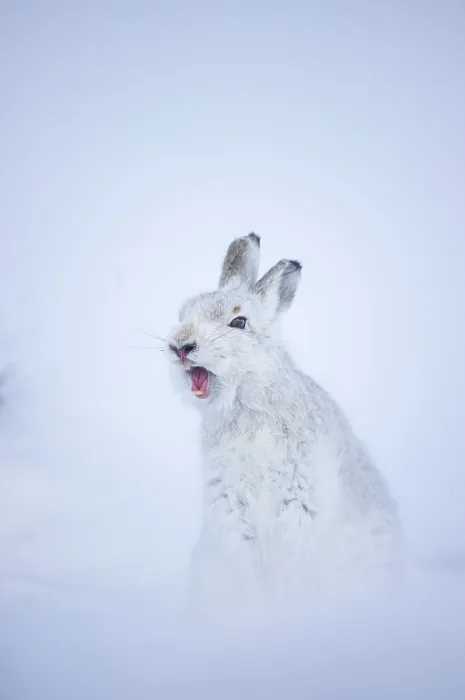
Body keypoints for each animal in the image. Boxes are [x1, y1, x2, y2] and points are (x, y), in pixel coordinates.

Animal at [165, 233, 403, 612]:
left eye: (239, 323)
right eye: (183, 314)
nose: (181, 346)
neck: (248, 403)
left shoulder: (300, 509)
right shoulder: (229, 511)